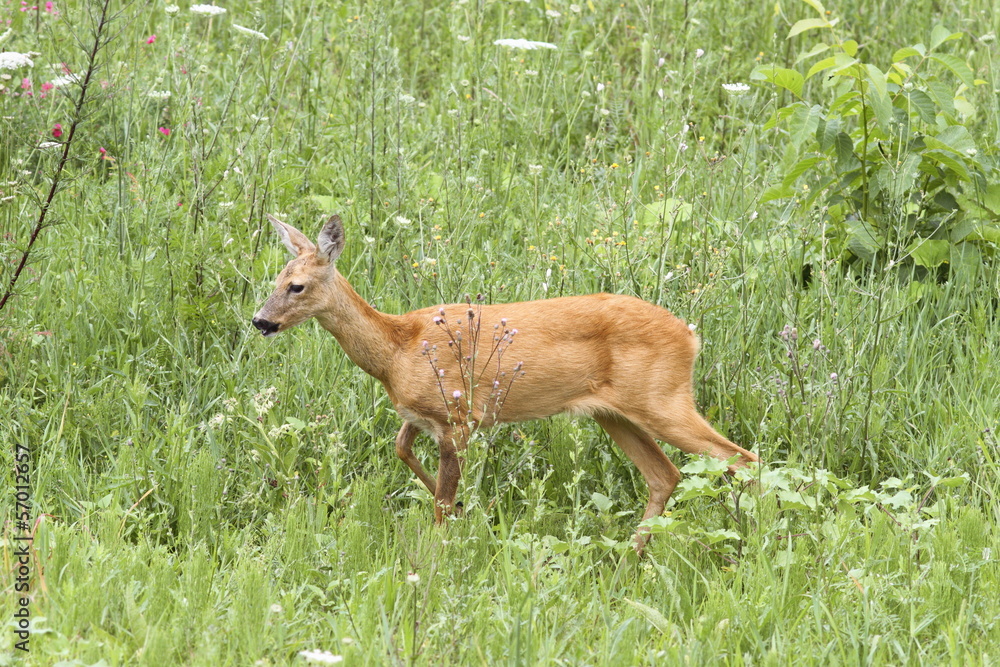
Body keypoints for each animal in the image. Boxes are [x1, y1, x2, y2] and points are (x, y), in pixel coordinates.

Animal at [252, 213, 759, 553]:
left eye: (297, 286)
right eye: (276, 278)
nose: (260, 321)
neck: (396, 350)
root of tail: (690, 335)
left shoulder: (458, 416)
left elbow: (440, 499)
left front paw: (439, 549)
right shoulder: (422, 414)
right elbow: (402, 450)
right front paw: (468, 512)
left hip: (663, 399)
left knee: (741, 458)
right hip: (615, 414)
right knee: (665, 475)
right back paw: (629, 559)